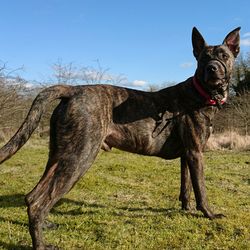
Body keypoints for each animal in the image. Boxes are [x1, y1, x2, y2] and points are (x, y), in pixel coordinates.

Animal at [0, 26, 241, 249]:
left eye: (224, 56)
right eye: (204, 58)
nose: (212, 69)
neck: (201, 93)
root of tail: (72, 90)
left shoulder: (187, 155)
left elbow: (187, 187)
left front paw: (186, 209)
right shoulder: (196, 154)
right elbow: (201, 189)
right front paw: (209, 214)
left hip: (59, 155)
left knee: (33, 196)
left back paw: (45, 225)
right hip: (79, 157)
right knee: (39, 202)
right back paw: (41, 244)